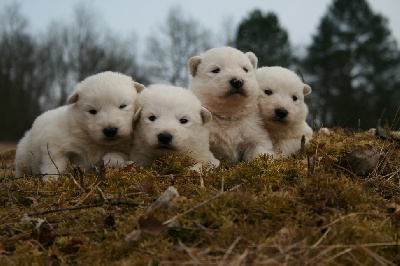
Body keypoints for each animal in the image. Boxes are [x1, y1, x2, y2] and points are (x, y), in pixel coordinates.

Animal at [14, 71, 145, 180]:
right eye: (92, 111)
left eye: (123, 106)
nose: (110, 130)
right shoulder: (54, 140)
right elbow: (55, 160)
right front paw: (51, 179)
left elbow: (118, 154)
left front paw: (113, 160)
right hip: (23, 154)